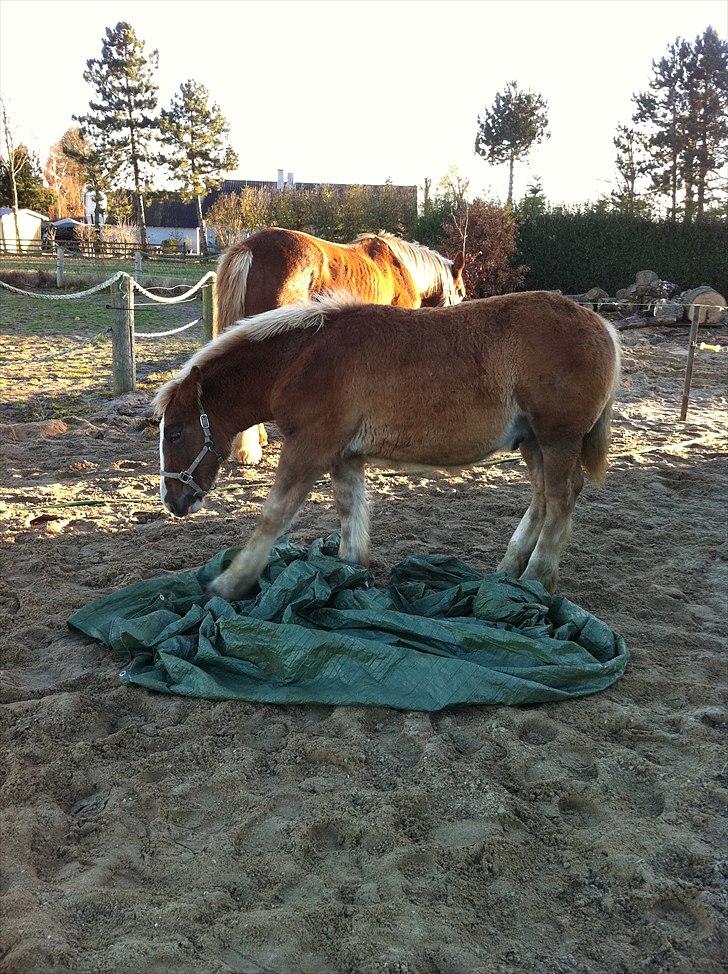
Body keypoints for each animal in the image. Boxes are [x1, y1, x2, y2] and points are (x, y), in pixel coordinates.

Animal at [155, 290, 620, 600]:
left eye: (175, 433)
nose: (173, 500)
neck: (302, 359)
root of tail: (602, 326)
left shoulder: (309, 448)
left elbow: (274, 515)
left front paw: (230, 583)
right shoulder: (343, 455)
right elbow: (350, 512)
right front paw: (350, 573)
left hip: (558, 439)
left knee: (561, 498)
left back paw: (536, 578)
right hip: (533, 442)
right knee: (543, 497)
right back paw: (507, 570)